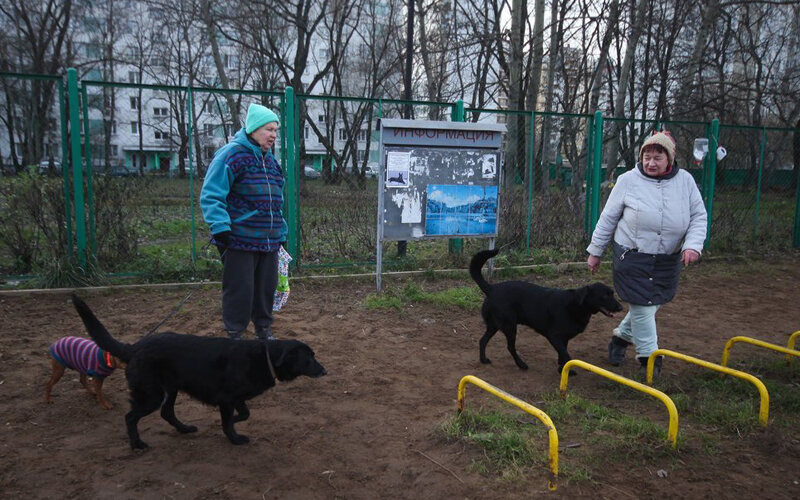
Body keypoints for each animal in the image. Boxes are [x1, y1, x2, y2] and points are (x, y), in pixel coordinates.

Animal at [72, 294, 326, 452]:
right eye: (309, 358)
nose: (325, 370)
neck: (265, 356)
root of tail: (134, 347)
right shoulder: (226, 399)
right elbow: (229, 422)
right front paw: (235, 438)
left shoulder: (236, 399)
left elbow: (244, 414)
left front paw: (236, 422)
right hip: (151, 394)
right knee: (130, 417)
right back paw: (137, 444)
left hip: (170, 390)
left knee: (166, 412)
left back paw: (184, 429)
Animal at [468, 249, 624, 372]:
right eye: (604, 296)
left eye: (612, 293)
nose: (621, 307)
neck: (576, 305)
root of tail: (491, 288)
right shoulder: (554, 336)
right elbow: (566, 356)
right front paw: (567, 370)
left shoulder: (564, 338)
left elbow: (563, 355)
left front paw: (562, 370)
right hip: (510, 326)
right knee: (510, 347)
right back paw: (521, 364)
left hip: (494, 325)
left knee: (482, 341)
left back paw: (483, 359)